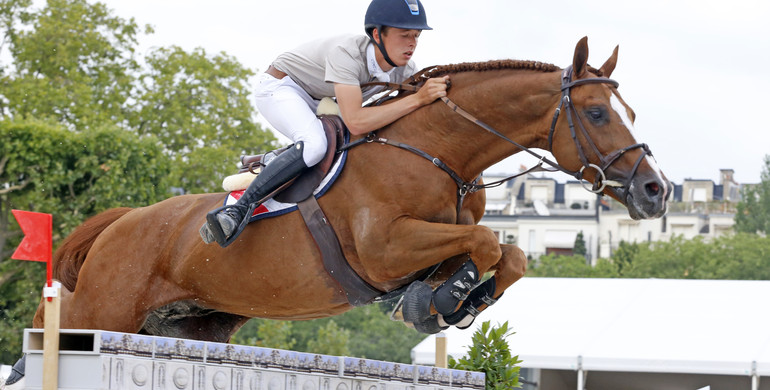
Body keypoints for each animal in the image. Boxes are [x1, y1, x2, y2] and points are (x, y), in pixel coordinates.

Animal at [22, 35, 664, 356]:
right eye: (599, 113)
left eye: (630, 111)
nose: (655, 191)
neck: (440, 152)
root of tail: (119, 223)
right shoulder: (383, 248)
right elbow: (485, 240)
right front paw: (442, 300)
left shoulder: (427, 242)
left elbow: (508, 253)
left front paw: (445, 301)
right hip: (101, 310)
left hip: (189, 325)